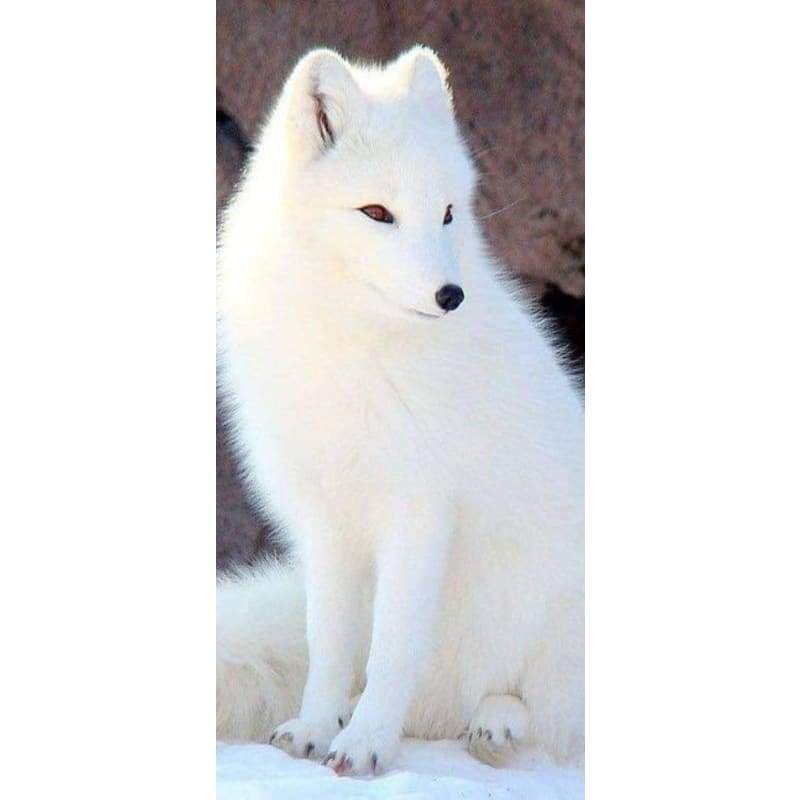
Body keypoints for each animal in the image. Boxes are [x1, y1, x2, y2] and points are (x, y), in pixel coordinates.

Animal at [216, 46, 584, 776]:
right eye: (377, 212)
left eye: (446, 213)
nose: (451, 295)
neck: (353, 350)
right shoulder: (328, 519)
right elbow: (329, 643)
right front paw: (316, 727)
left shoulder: (419, 509)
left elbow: (391, 649)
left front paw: (365, 744)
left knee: (547, 708)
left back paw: (497, 720)